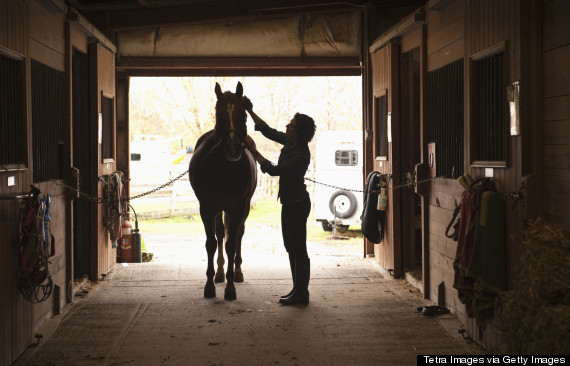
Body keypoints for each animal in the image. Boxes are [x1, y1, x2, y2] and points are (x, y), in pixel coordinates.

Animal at [187, 81, 256, 300]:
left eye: (243, 114)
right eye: (219, 114)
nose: (233, 149)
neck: (225, 169)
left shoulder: (238, 208)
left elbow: (232, 244)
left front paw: (231, 288)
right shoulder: (207, 207)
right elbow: (211, 243)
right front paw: (209, 285)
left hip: (240, 209)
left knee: (238, 235)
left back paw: (237, 272)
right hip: (218, 210)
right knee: (219, 236)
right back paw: (219, 274)